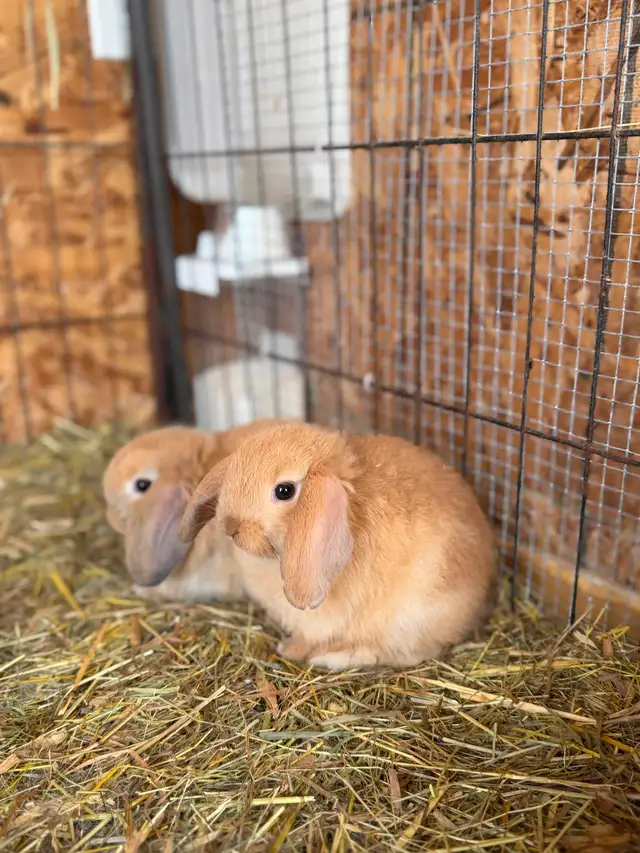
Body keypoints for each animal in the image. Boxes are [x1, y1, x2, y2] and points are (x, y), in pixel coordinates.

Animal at [179, 421, 497, 670]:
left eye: (284, 491)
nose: (231, 526)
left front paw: (289, 650)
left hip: (410, 618)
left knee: (404, 655)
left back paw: (332, 658)